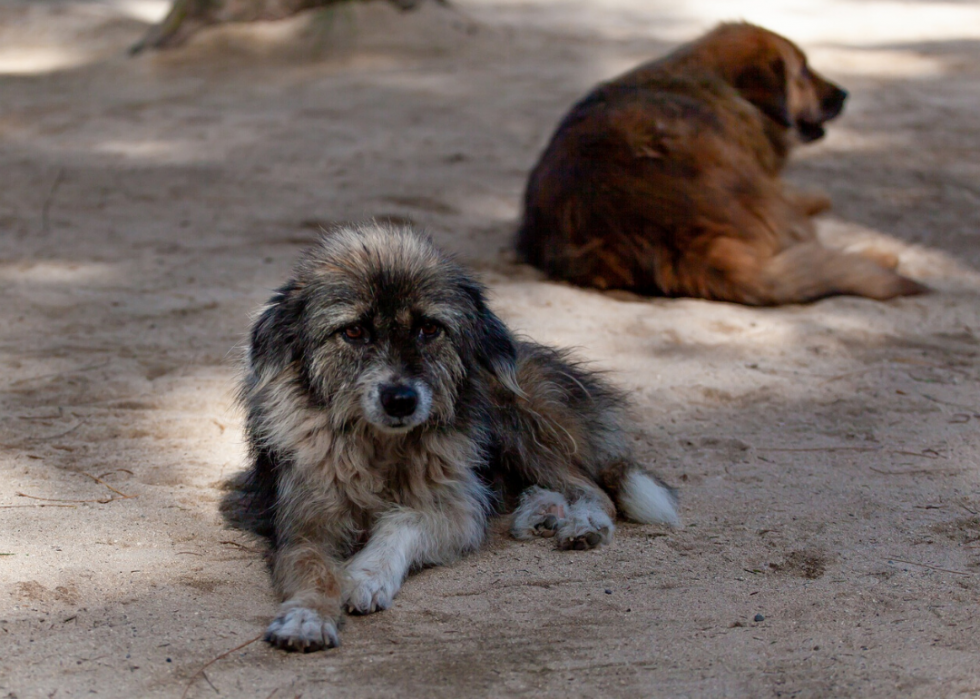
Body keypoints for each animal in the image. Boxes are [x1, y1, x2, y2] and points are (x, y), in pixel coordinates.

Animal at [241, 223, 676, 652]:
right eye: (354, 331)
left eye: (429, 328)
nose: (400, 400)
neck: (381, 448)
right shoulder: (303, 525)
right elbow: (315, 571)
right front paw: (307, 617)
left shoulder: (457, 510)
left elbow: (405, 520)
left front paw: (367, 574)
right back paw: (541, 511)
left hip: (518, 421)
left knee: (592, 488)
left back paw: (581, 523)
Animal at [516, 25, 924, 304]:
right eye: (804, 72)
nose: (843, 94)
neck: (717, 80)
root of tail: (677, 237)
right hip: (770, 208)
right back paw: (878, 255)